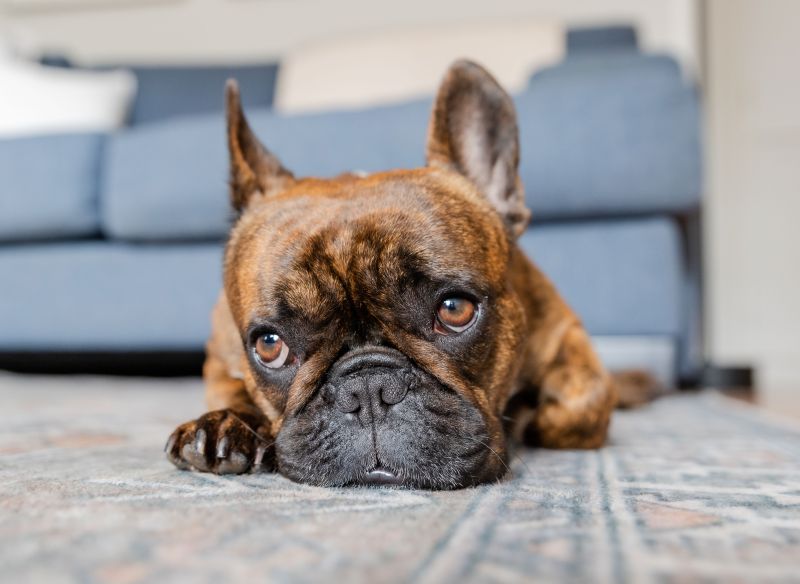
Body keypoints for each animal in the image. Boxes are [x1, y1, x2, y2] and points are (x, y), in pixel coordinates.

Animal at [166, 60, 640, 488]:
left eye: (454, 310)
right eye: (269, 345)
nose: (368, 389)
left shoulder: (566, 336)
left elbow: (583, 404)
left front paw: (530, 414)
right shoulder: (220, 354)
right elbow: (231, 387)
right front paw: (226, 424)